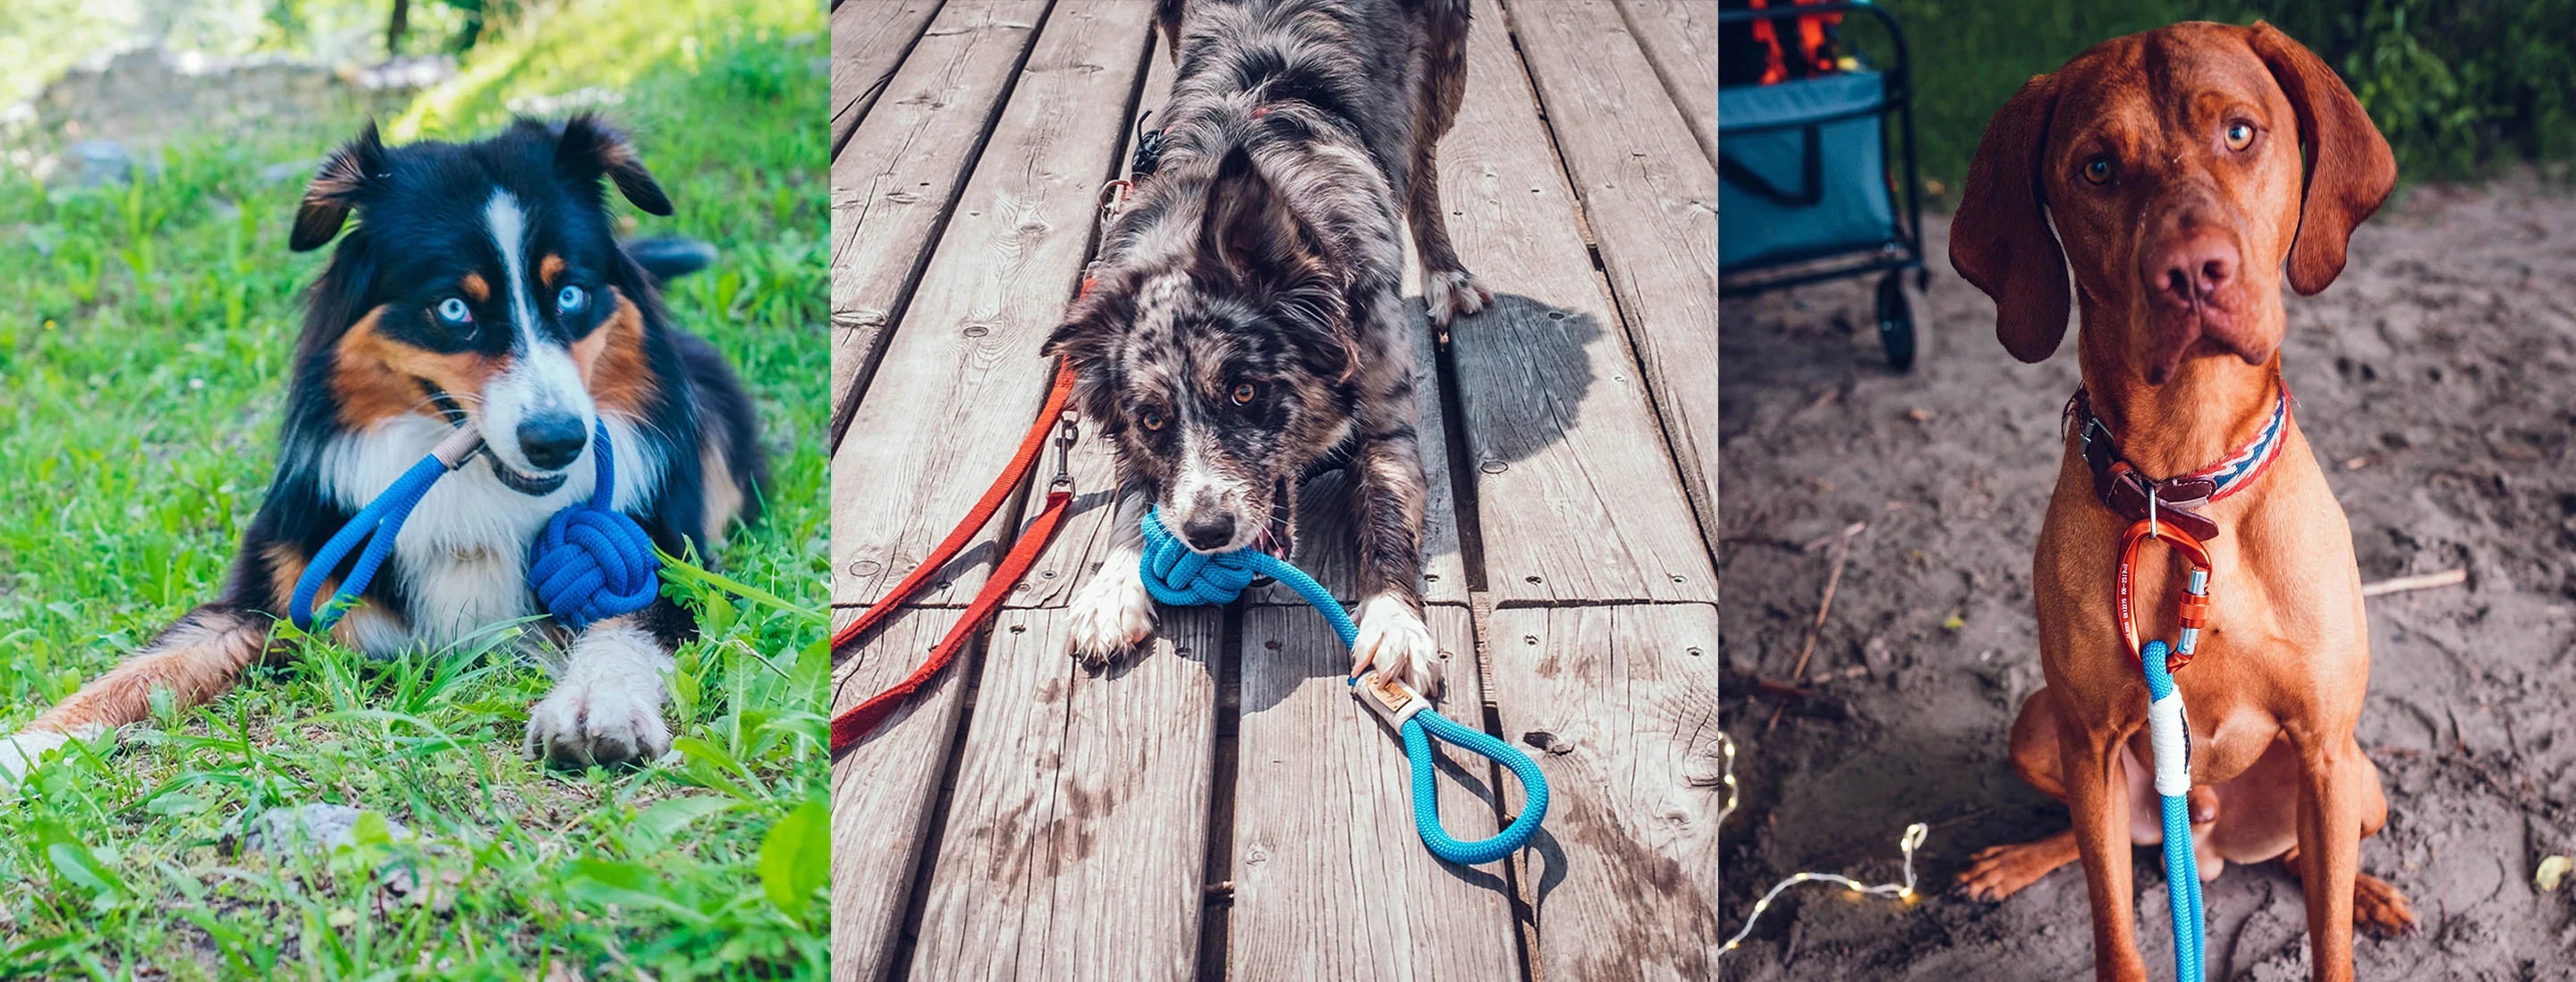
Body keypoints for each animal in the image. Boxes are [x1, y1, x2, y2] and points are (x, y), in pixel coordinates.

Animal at [0, 114, 762, 778]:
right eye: (453, 309)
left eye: (570, 294)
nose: (559, 442)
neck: (467, 488)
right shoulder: (271, 598)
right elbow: (145, 666)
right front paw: (26, 747)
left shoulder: (663, 566)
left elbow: (623, 629)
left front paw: (594, 705)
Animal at [1046, 0, 1494, 690]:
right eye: (1151, 421)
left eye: (1245, 391)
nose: (1206, 534)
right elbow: (1132, 493)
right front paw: (1113, 589)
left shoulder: (1389, 423)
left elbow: (1387, 515)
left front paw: (1394, 622)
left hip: (1446, 73)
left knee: (1422, 165)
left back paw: (1447, 272)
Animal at [1947, 19, 2411, 974]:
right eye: (2096, 167)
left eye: (2239, 132)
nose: (2194, 272)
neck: (2186, 485)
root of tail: (2208, 840)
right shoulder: (2089, 744)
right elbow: (2113, 928)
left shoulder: (2325, 748)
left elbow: (2329, 938)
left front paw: (2353, 909)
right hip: (2040, 728)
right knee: (2103, 843)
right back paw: (2014, 861)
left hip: (2362, 776)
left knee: (2311, 860)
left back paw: (2370, 891)